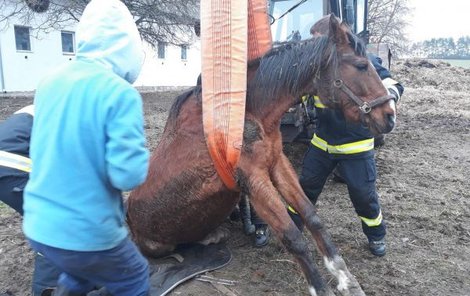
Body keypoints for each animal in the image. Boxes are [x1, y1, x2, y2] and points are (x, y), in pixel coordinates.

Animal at [126, 16, 394, 296]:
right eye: (361, 65)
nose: (389, 115)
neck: (244, 113)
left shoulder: (277, 164)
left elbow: (312, 217)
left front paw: (345, 278)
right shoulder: (254, 180)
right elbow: (293, 236)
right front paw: (320, 288)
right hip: (159, 245)